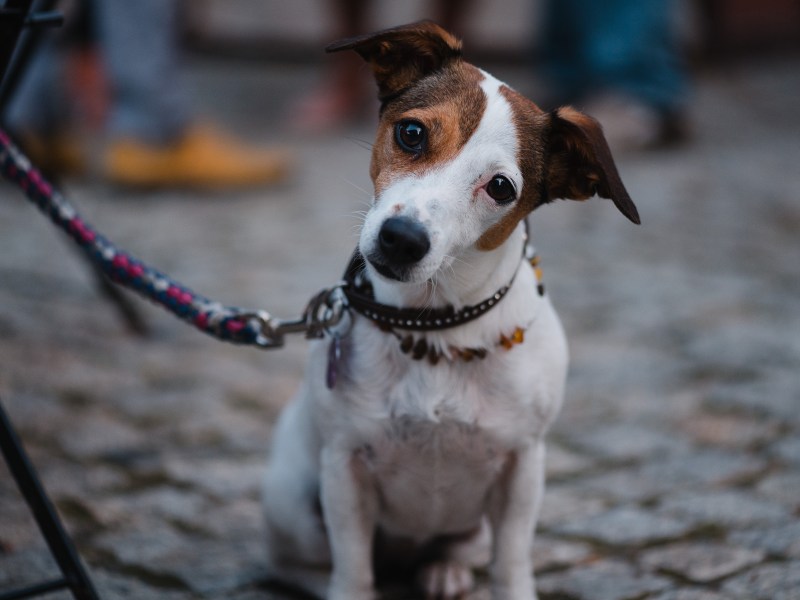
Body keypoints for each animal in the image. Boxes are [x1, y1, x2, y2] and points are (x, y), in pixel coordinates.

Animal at [262, 19, 636, 600]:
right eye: (412, 133)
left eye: (501, 187)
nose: (401, 238)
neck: (434, 325)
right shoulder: (344, 467)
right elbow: (353, 571)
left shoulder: (523, 468)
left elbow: (511, 565)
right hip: (293, 502)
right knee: (302, 562)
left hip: (474, 526)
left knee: (455, 549)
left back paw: (444, 571)